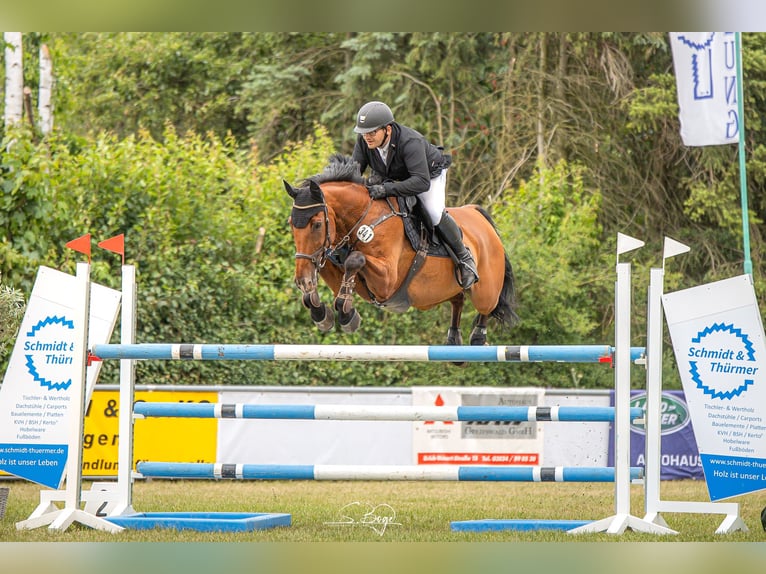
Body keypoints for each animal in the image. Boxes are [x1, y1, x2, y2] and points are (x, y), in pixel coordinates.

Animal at [284, 154, 519, 346]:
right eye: (291, 224)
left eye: (316, 224)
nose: (301, 280)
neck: (364, 218)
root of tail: (478, 214)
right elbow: (327, 270)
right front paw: (319, 308)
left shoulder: (387, 281)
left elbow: (355, 259)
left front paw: (344, 312)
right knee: (458, 299)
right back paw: (453, 338)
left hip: (485, 290)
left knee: (487, 305)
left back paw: (478, 336)